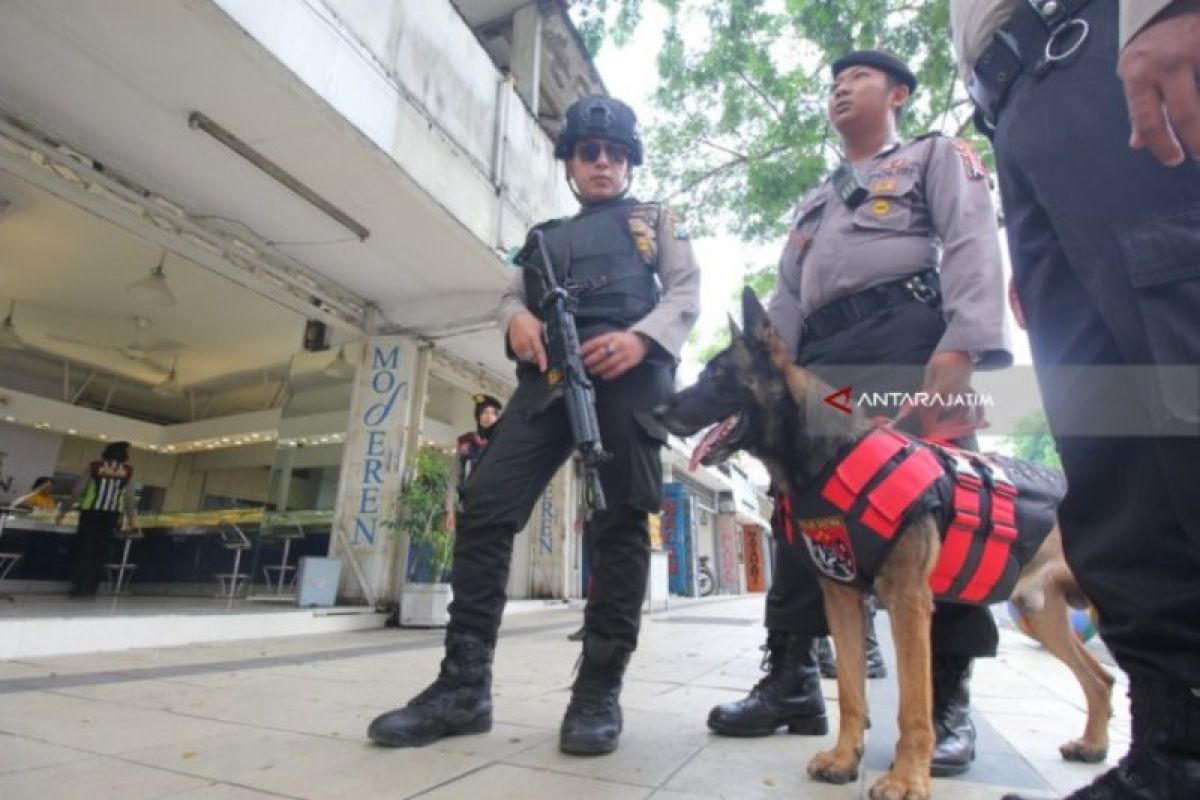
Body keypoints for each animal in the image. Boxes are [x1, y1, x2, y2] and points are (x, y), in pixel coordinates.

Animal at [652, 289, 1108, 800]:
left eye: (716, 375)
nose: (656, 412)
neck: (826, 455)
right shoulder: (842, 600)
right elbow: (851, 693)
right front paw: (843, 759)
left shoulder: (908, 602)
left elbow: (913, 707)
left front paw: (907, 778)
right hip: (1038, 616)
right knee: (1102, 677)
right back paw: (1093, 745)